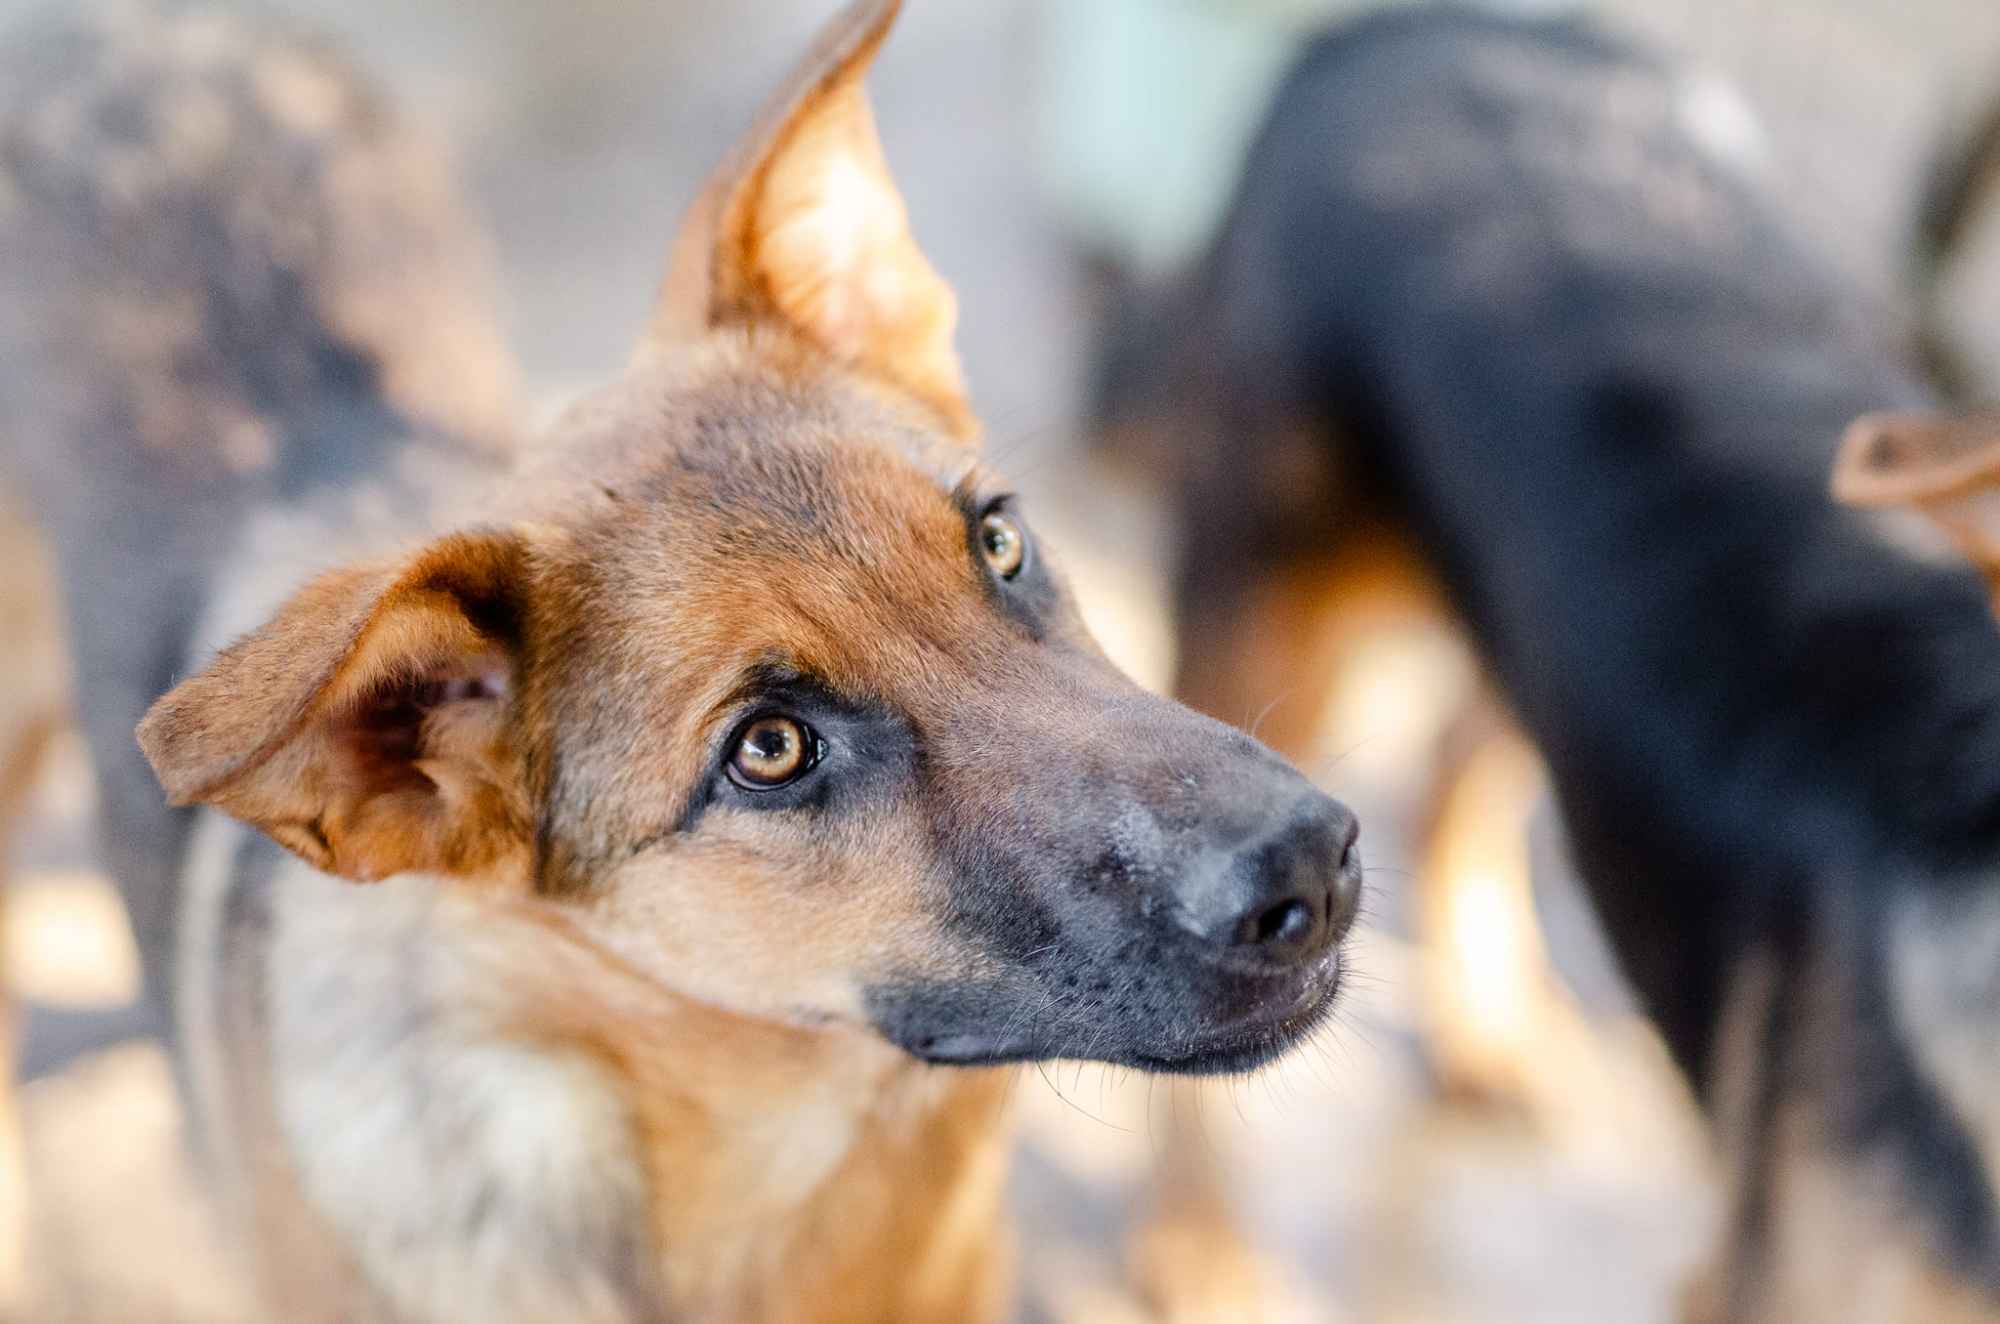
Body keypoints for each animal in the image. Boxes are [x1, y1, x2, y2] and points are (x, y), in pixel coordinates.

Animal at [1104, 13, 2000, 1324]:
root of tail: (1408, 25)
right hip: (1275, 610)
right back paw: (1198, 1241)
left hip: (1520, 613)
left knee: (1453, 776)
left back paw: (1488, 1041)